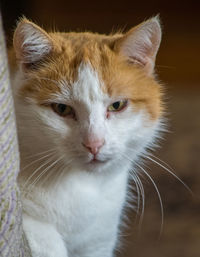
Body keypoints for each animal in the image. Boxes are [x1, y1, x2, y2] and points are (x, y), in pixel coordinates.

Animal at [8, 16, 163, 256]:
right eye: (62, 109)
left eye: (117, 105)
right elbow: (44, 235)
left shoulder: (98, 240)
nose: (94, 144)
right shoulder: (29, 221)